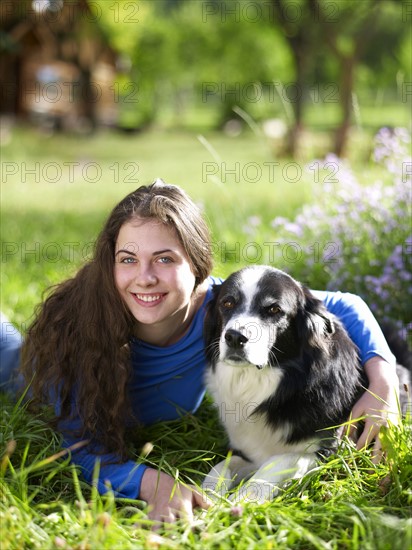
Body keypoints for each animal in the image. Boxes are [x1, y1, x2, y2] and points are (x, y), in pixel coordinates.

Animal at [202, 268, 408, 504]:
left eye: (274, 309)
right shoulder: (248, 450)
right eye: (227, 303)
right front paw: (207, 497)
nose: (235, 337)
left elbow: (277, 462)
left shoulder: (329, 452)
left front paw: (239, 503)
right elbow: (221, 466)